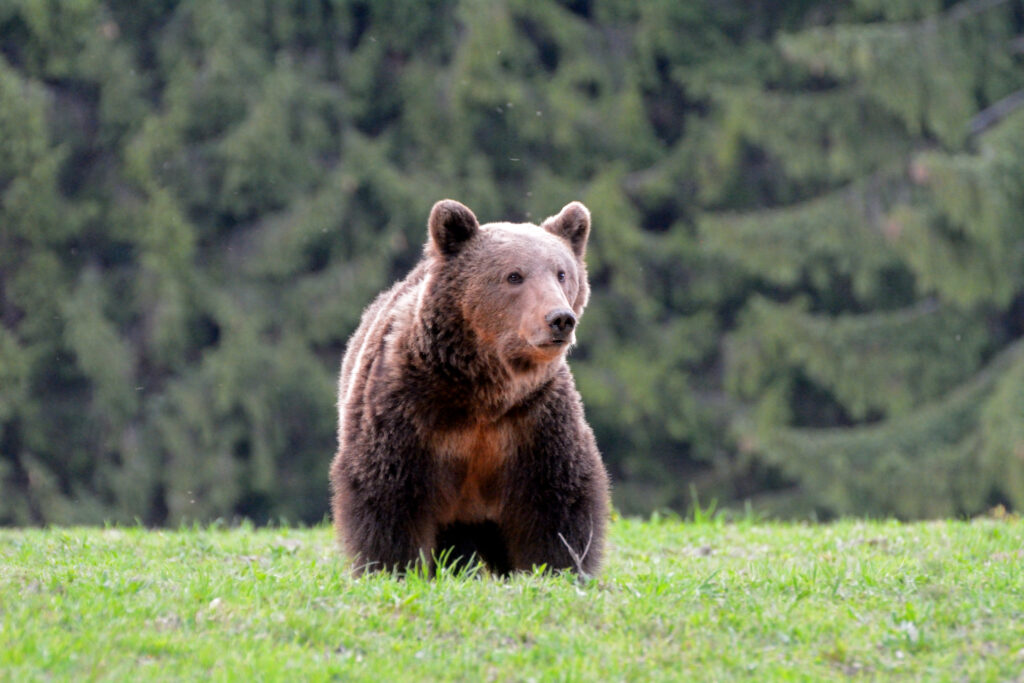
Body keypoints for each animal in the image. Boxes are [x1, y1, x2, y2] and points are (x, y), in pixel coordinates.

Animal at [331, 198, 610, 577]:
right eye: (514, 275)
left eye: (561, 272)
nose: (560, 319)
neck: (484, 390)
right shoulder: (407, 407)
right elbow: (390, 493)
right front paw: (393, 567)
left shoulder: (534, 418)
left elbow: (557, 500)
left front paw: (558, 569)